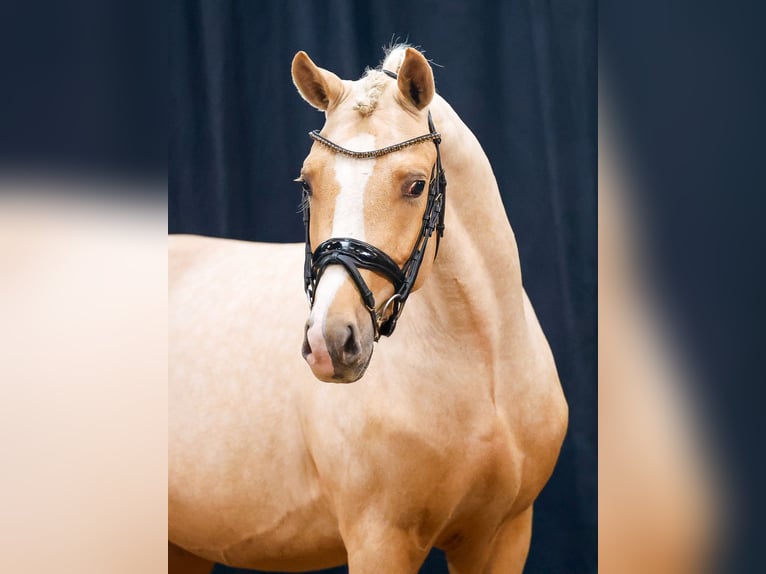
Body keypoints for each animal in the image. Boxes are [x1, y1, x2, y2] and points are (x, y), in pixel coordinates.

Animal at [172, 47, 568, 572]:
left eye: (416, 185)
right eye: (308, 184)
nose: (330, 342)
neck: (485, 369)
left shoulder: (503, 536)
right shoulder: (380, 539)